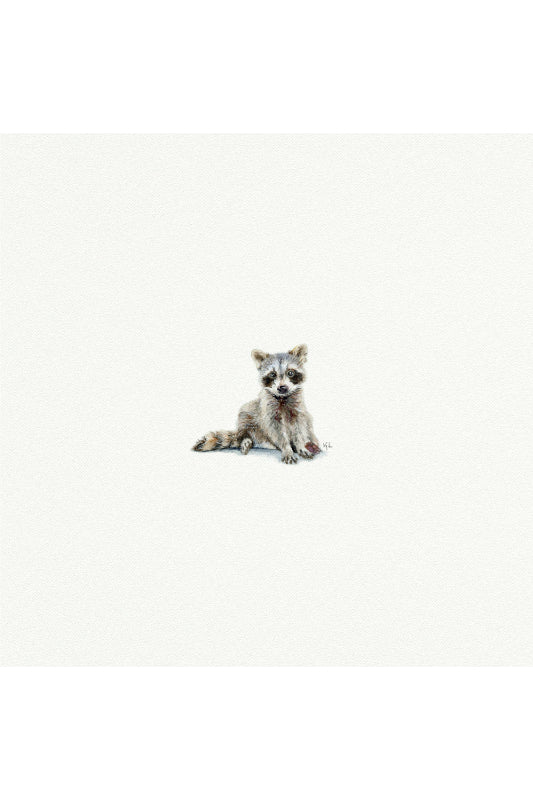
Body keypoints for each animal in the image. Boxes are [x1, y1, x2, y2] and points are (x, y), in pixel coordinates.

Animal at [192, 344, 321, 464]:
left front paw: (300, 445)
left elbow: (300, 428)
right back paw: (246, 439)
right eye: (272, 374)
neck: (283, 397)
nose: (282, 388)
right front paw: (287, 449)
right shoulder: (267, 410)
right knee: (244, 419)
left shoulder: (298, 408)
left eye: (290, 372)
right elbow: (277, 431)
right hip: (249, 414)